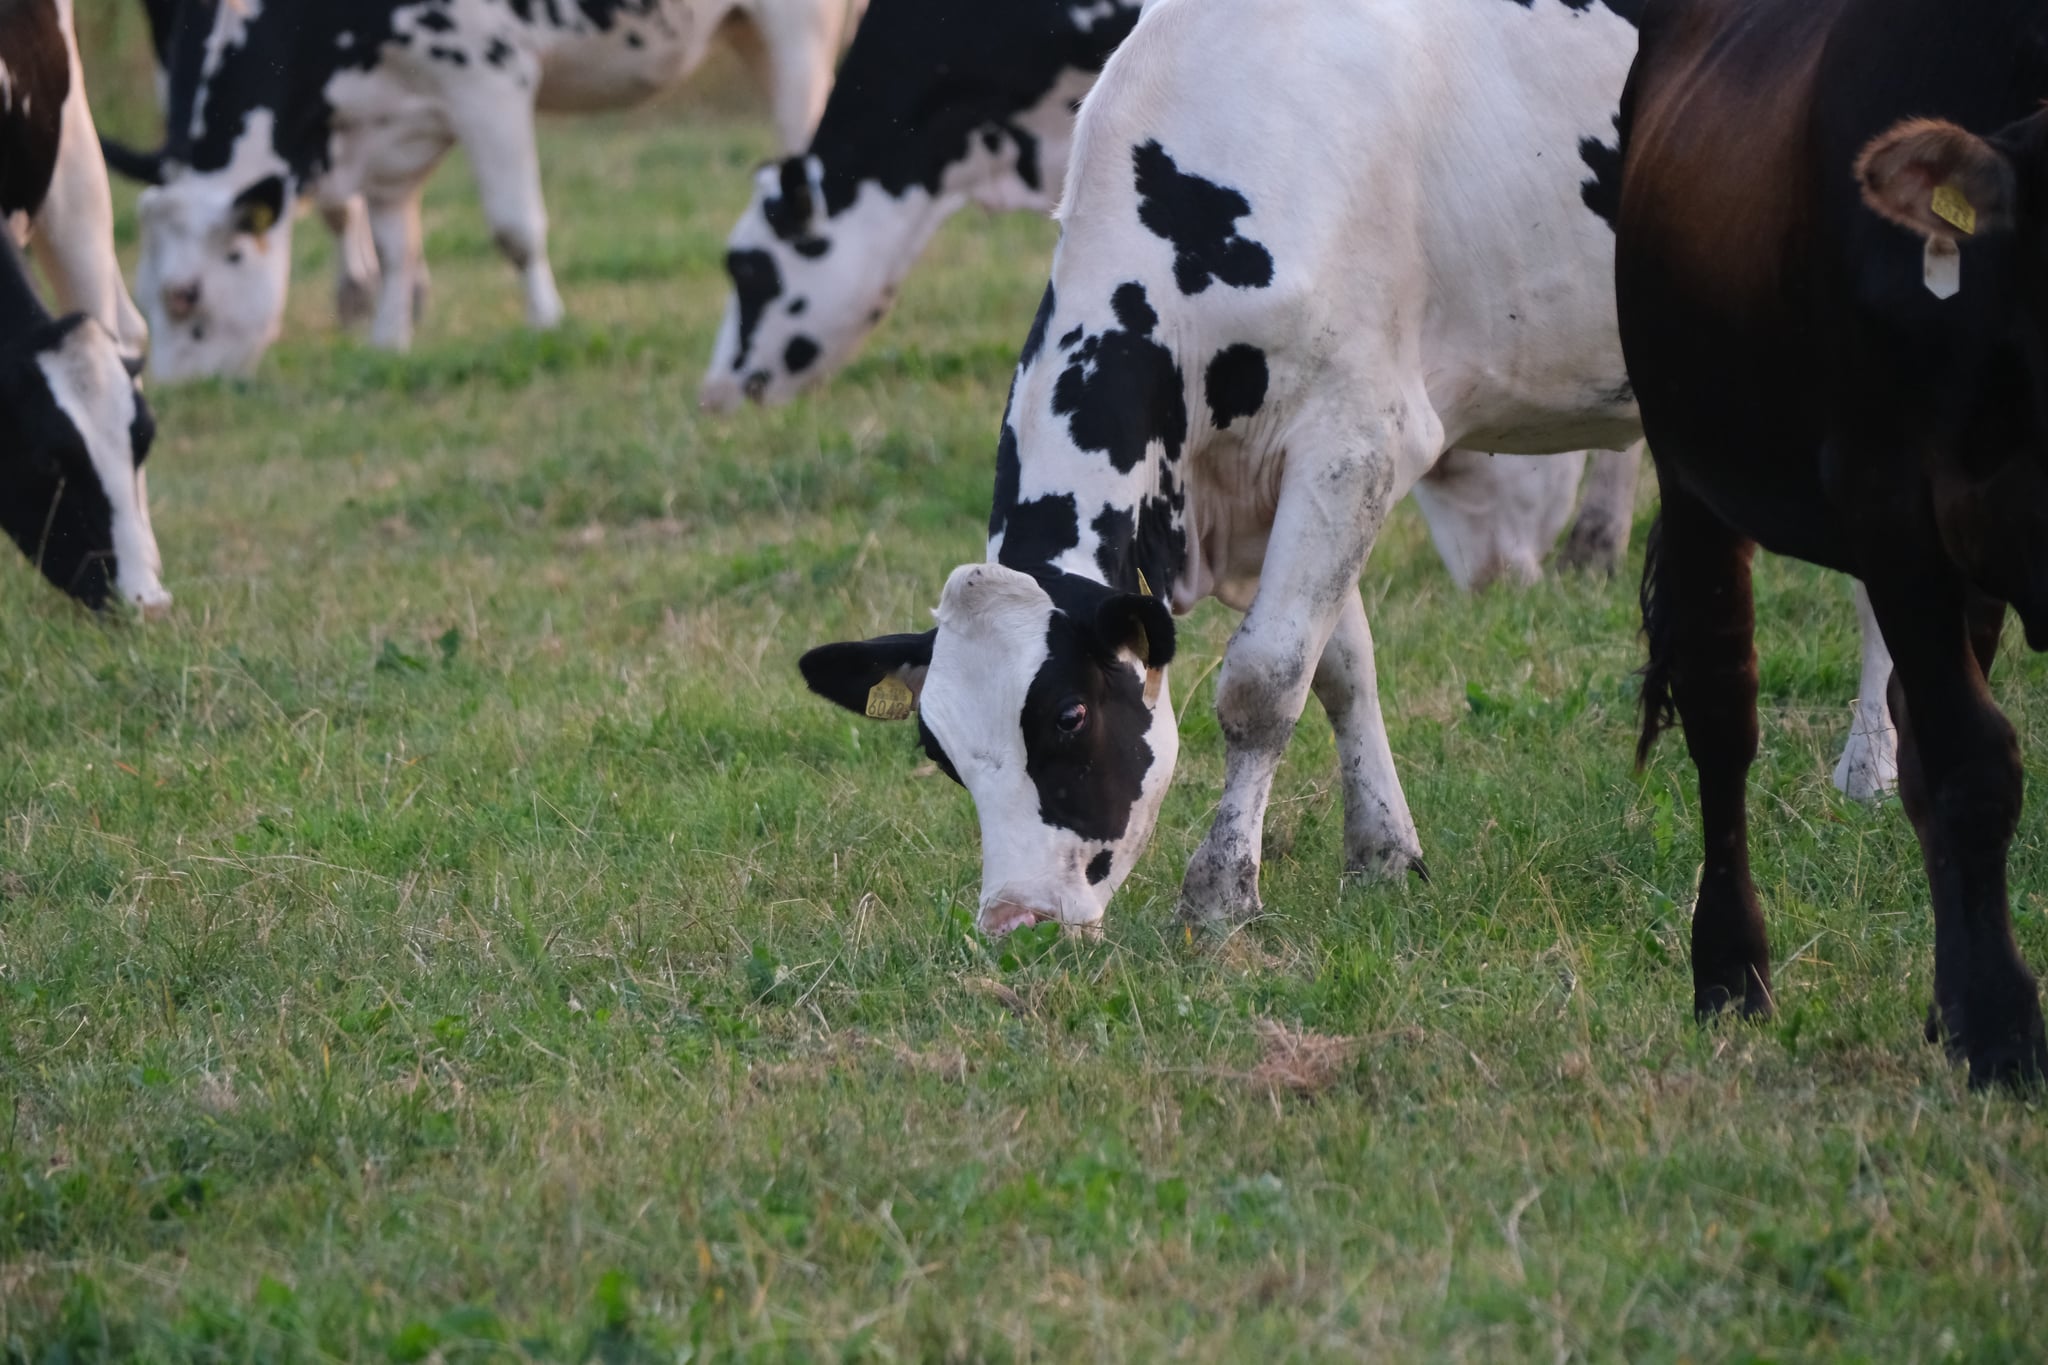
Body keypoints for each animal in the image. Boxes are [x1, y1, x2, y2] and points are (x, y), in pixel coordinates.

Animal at [108, 0, 859, 382]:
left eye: (185, 295)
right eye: (141, 293)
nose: (176, 386)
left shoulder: (489, 77)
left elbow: (514, 228)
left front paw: (545, 320)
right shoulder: (390, 130)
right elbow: (396, 247)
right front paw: (389, 339)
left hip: (794, 23)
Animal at [1614, 0, 2048, 1085]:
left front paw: (1971, 1009)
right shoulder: (1887, 500)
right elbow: (1972, 758)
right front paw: (2003, 1030)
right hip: (1690, 469)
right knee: (1722, 716)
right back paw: (1729, 972)